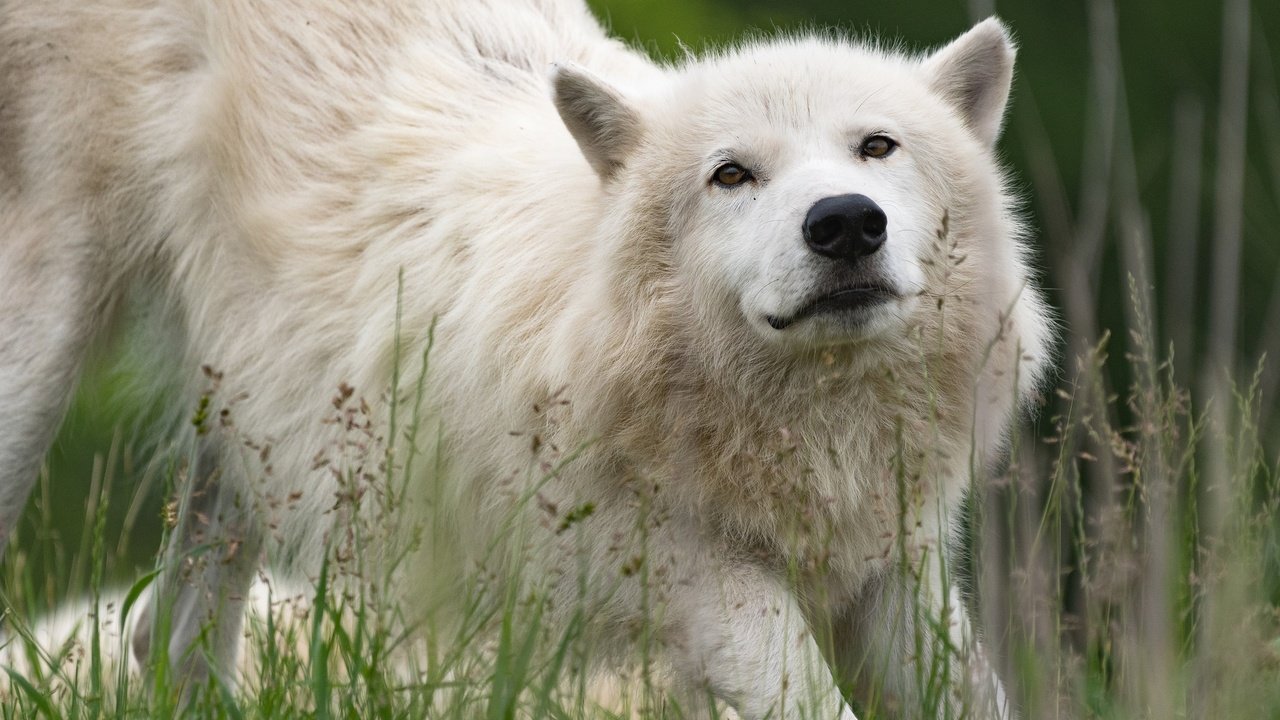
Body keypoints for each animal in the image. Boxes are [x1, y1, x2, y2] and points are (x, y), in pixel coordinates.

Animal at [0, 2, 1049, 712]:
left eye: (877, 147)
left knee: (163, 639)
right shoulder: (695, 578)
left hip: (253, 428)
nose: (844, 223)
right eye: (731, 174)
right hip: (42, 360)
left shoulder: (893, 570)